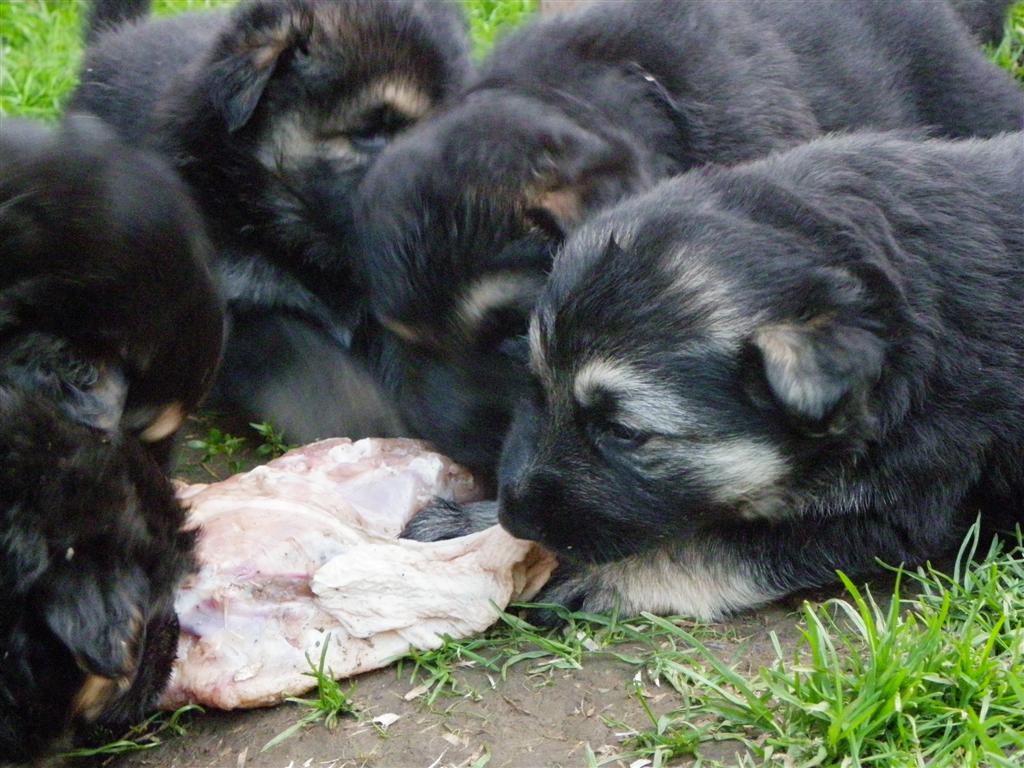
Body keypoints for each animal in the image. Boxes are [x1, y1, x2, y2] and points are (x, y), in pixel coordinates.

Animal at [411, 132, 1019, 626]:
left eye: (623, 432)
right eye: (534, 388)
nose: (514, 516)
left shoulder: (895, 507)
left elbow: (709, 544)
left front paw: (587, 572)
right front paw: (474, 526)